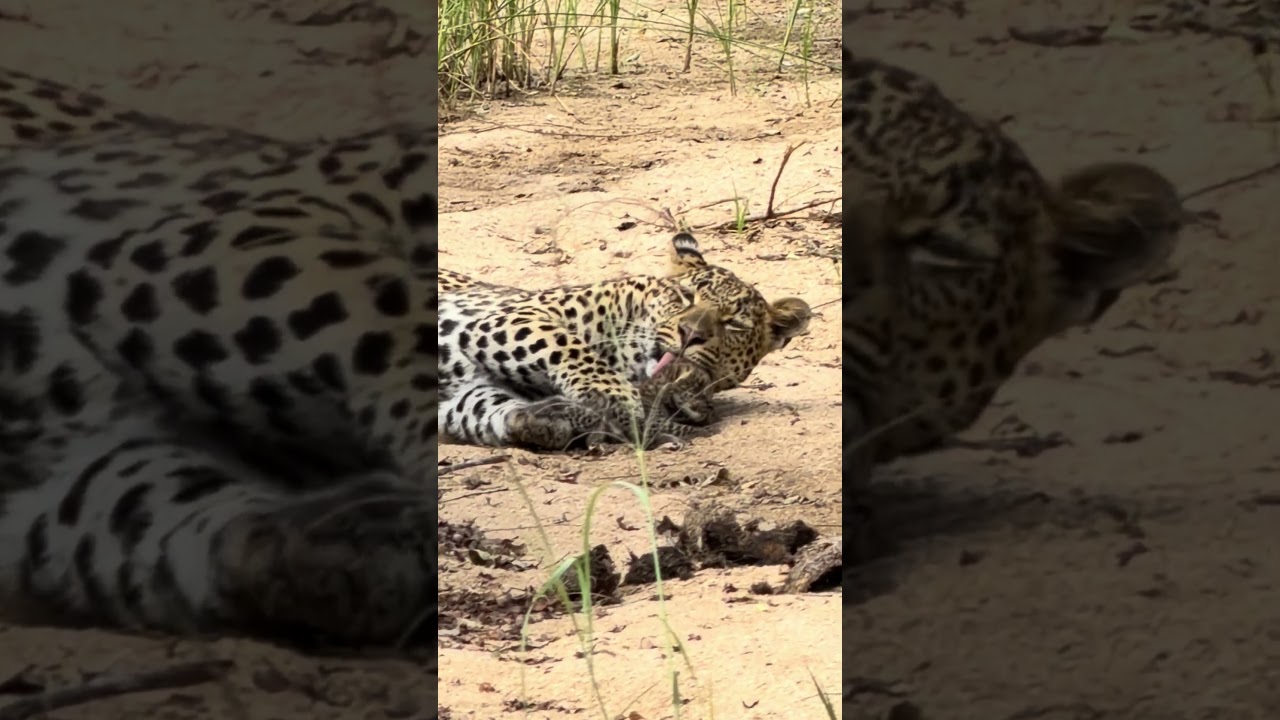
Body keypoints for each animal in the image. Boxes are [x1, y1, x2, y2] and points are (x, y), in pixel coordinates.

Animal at [439, 232, 813, 451]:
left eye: (733, 324)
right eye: (686, 296)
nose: (689, 333)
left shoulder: (463, 394)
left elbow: (480, 407)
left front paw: (547, 418)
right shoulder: (506, 317)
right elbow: (565, 344)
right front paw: (616, 396)